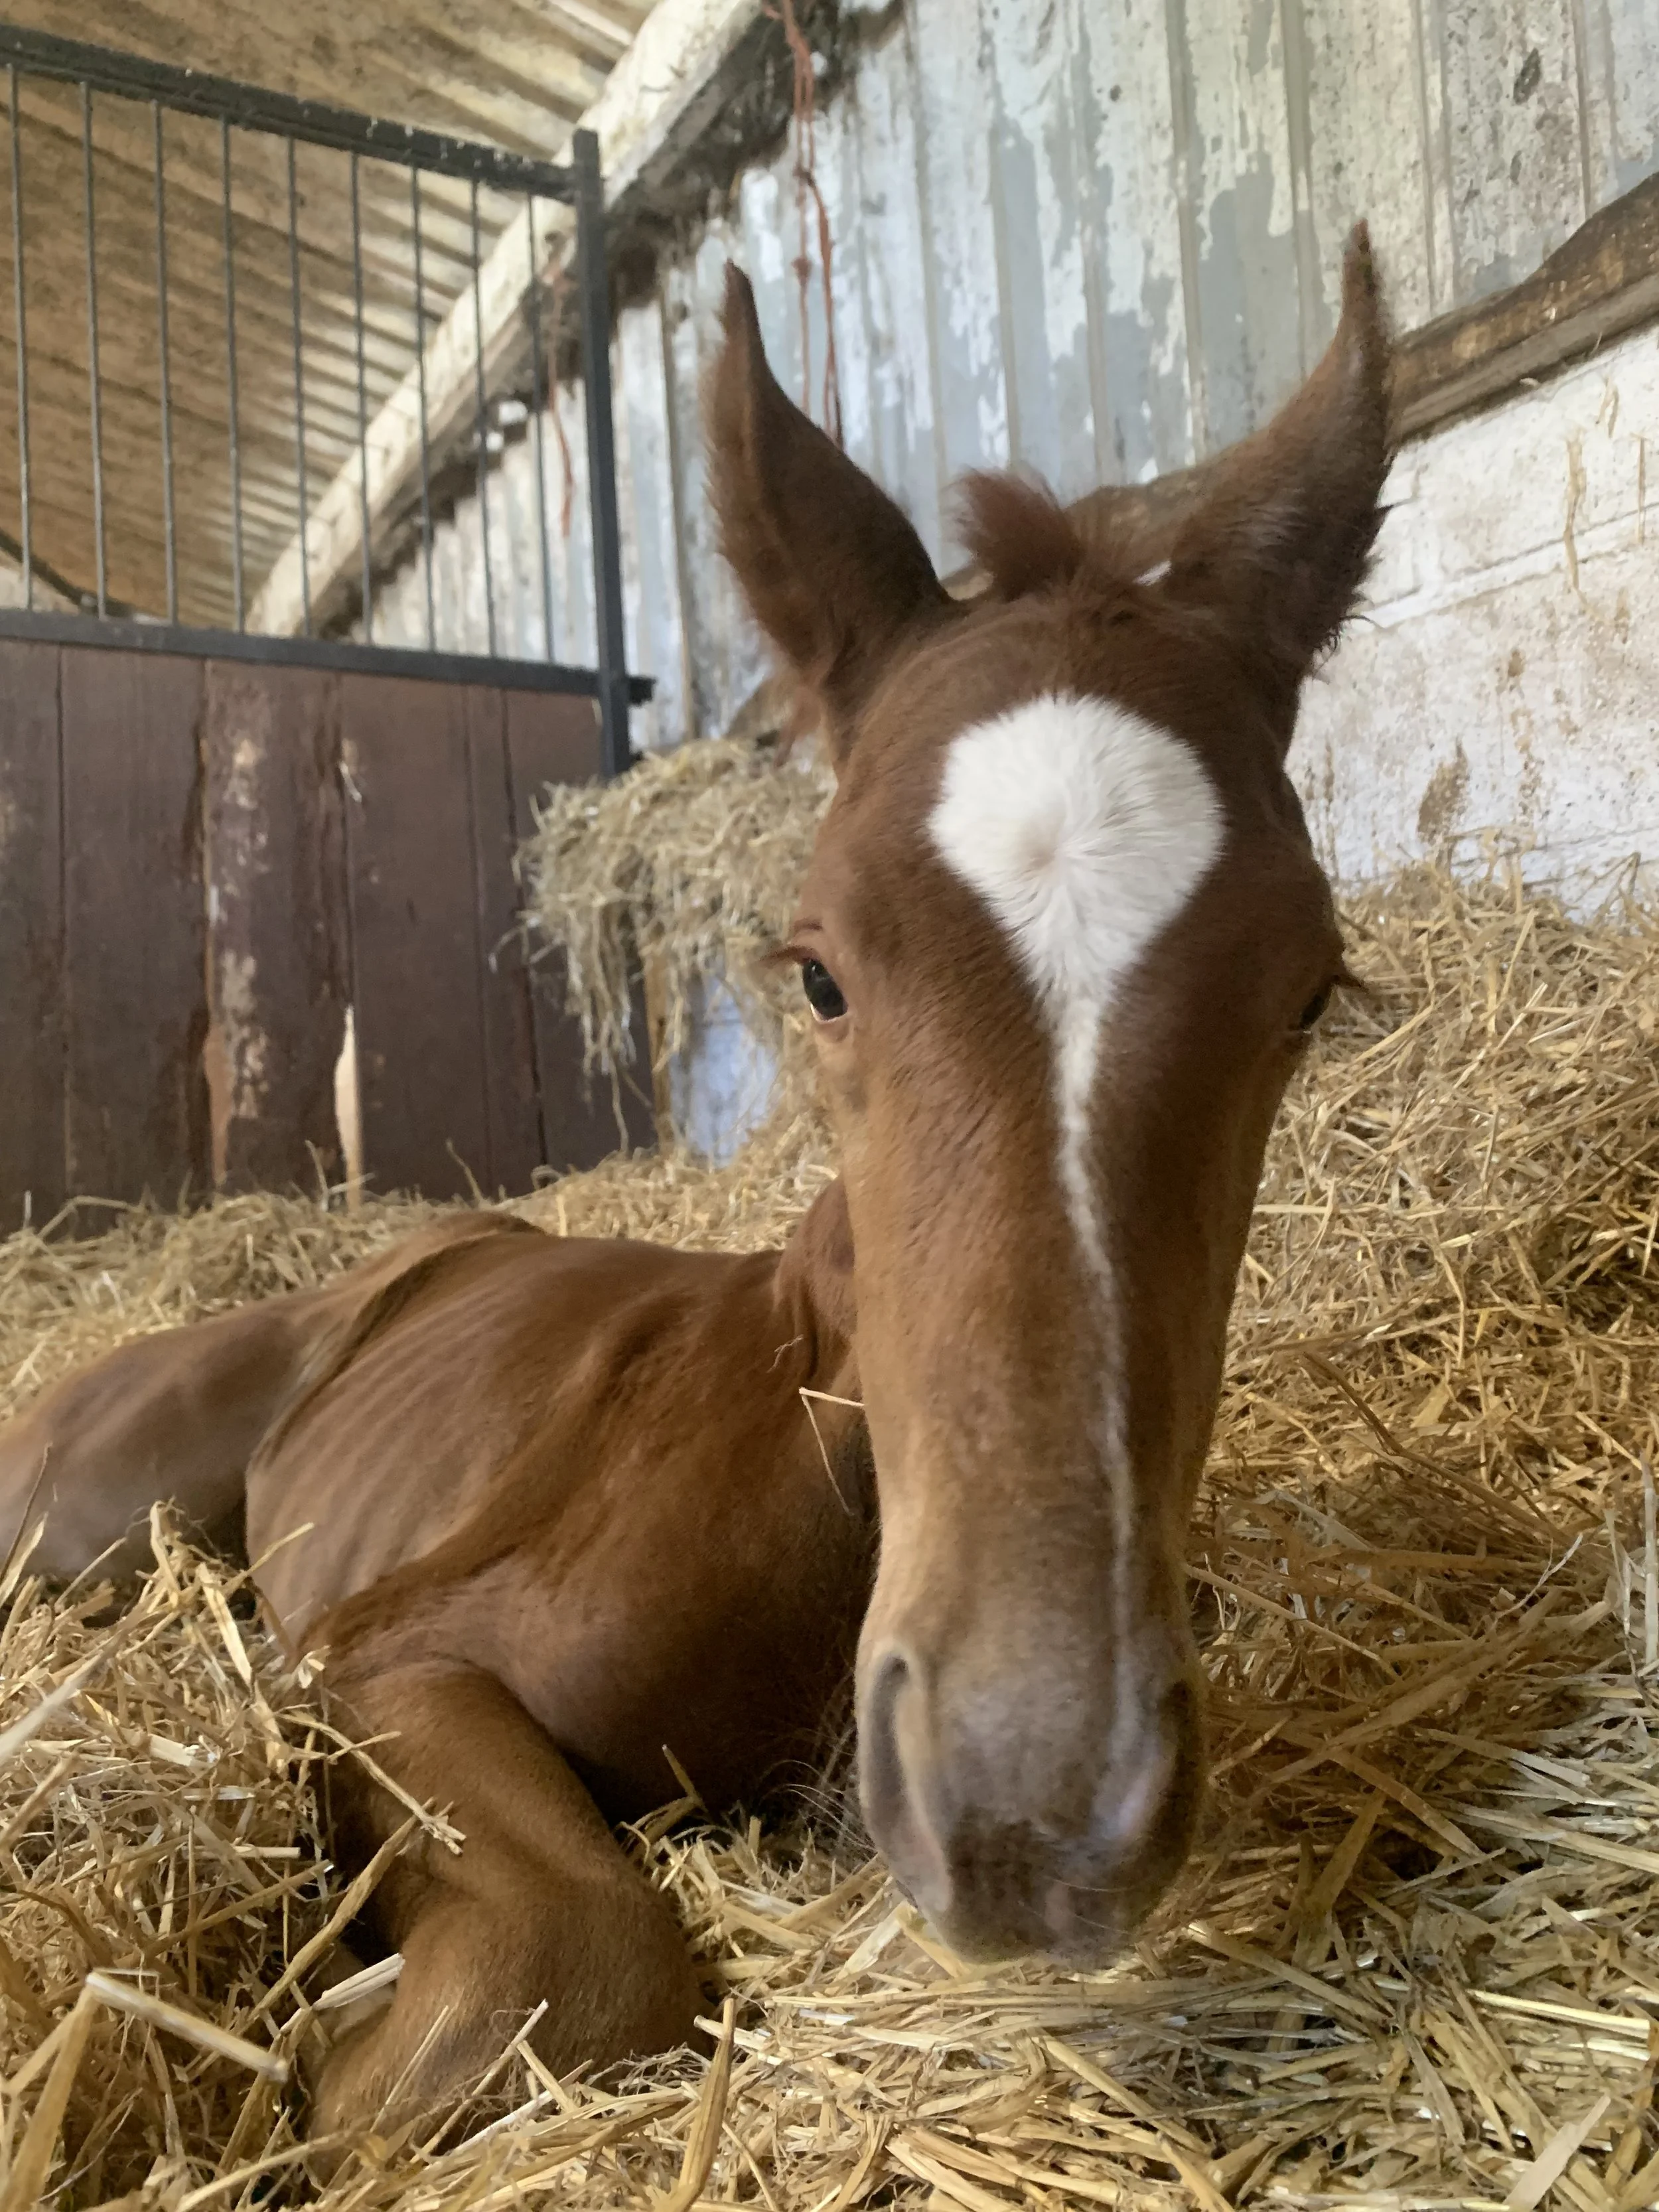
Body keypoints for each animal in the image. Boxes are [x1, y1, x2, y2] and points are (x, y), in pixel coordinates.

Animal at [0, 225, 1390, 2143]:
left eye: (1309, 991)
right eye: (817, 971)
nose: (1028, 1815)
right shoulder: (376, 1655)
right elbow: (576, 1950)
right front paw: (296, 2059)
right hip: (74, 1519)